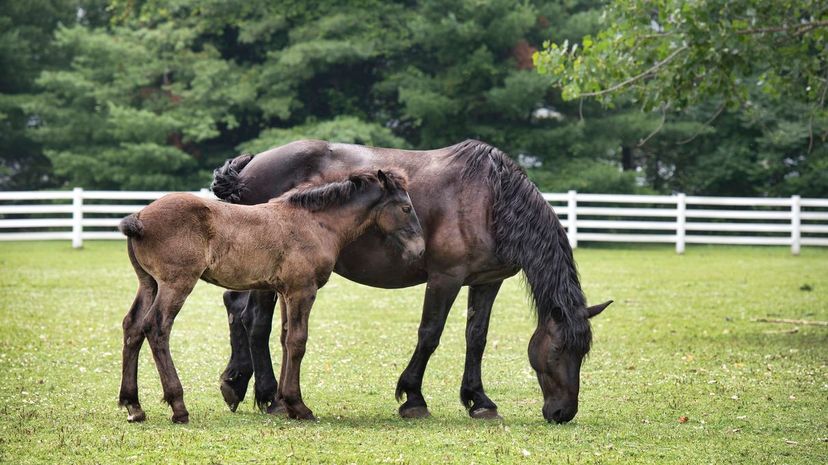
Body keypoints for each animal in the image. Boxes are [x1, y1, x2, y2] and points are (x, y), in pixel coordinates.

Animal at [116, 169, 424, 422]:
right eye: (406, 207)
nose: (420, 249)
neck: (315, 223)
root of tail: (139, 218)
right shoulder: (303, 290)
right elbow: (298, 341)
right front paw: (299, 406)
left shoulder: (287, 292)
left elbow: (286, 339)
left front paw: (285, 403)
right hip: (176, 283)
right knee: (156, 327)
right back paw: (178, 407)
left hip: (149, 283)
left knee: (133, 326)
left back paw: (134, 406)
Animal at [213, 140, 616, 422]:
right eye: (559, 349)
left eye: (584, 352)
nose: (563, 413)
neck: (490, 200)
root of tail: (250, 166)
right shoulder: (445, 279)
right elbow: (430, 334)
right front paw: (413, 398)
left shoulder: (487, 281)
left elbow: (477, 337)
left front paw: (480, 400)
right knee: (256, 322)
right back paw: (270, 397)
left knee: (236, 309)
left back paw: (236, 383)